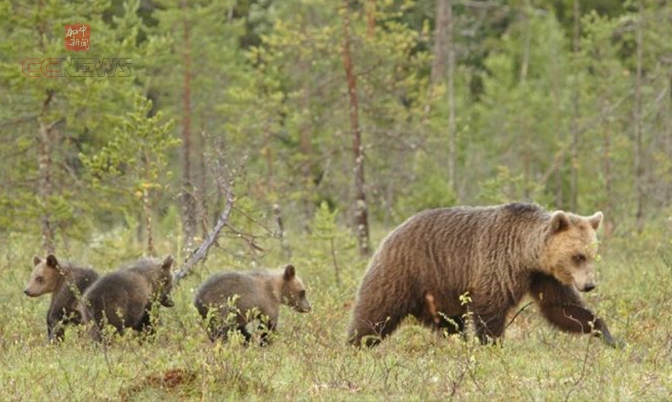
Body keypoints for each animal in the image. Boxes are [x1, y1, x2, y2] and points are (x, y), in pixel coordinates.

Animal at [350, 203, 616, 348]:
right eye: (578, 256)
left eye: (592, 254)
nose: (590, 285)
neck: (526, 255)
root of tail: (392, 233)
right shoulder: (497, 264)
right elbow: (489, 310)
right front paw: (492, 345)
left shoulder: (543, 276)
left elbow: (562, 307)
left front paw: (609, 337)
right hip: (405, 272)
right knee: (375, 313)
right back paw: (355, 346)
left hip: (440, 293)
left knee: (450, 325)